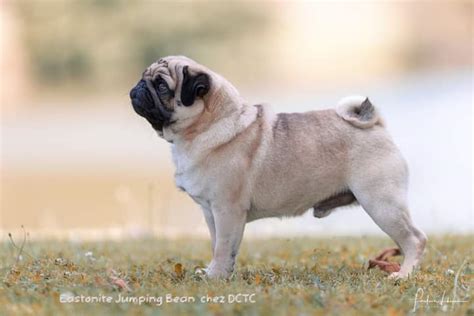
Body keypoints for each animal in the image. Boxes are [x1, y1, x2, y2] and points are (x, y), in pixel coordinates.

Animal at [129, 55, 426, 278]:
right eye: (144, 77)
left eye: (162, 86)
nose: (138, 87)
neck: (210, 125)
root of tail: (376, 125)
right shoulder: (211, 212)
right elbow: (219, 246)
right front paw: (218, 273)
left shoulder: (227, 210)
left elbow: (223, 247)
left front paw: (216, 277)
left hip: (381, 204)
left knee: (415, 240)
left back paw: (403, 275)